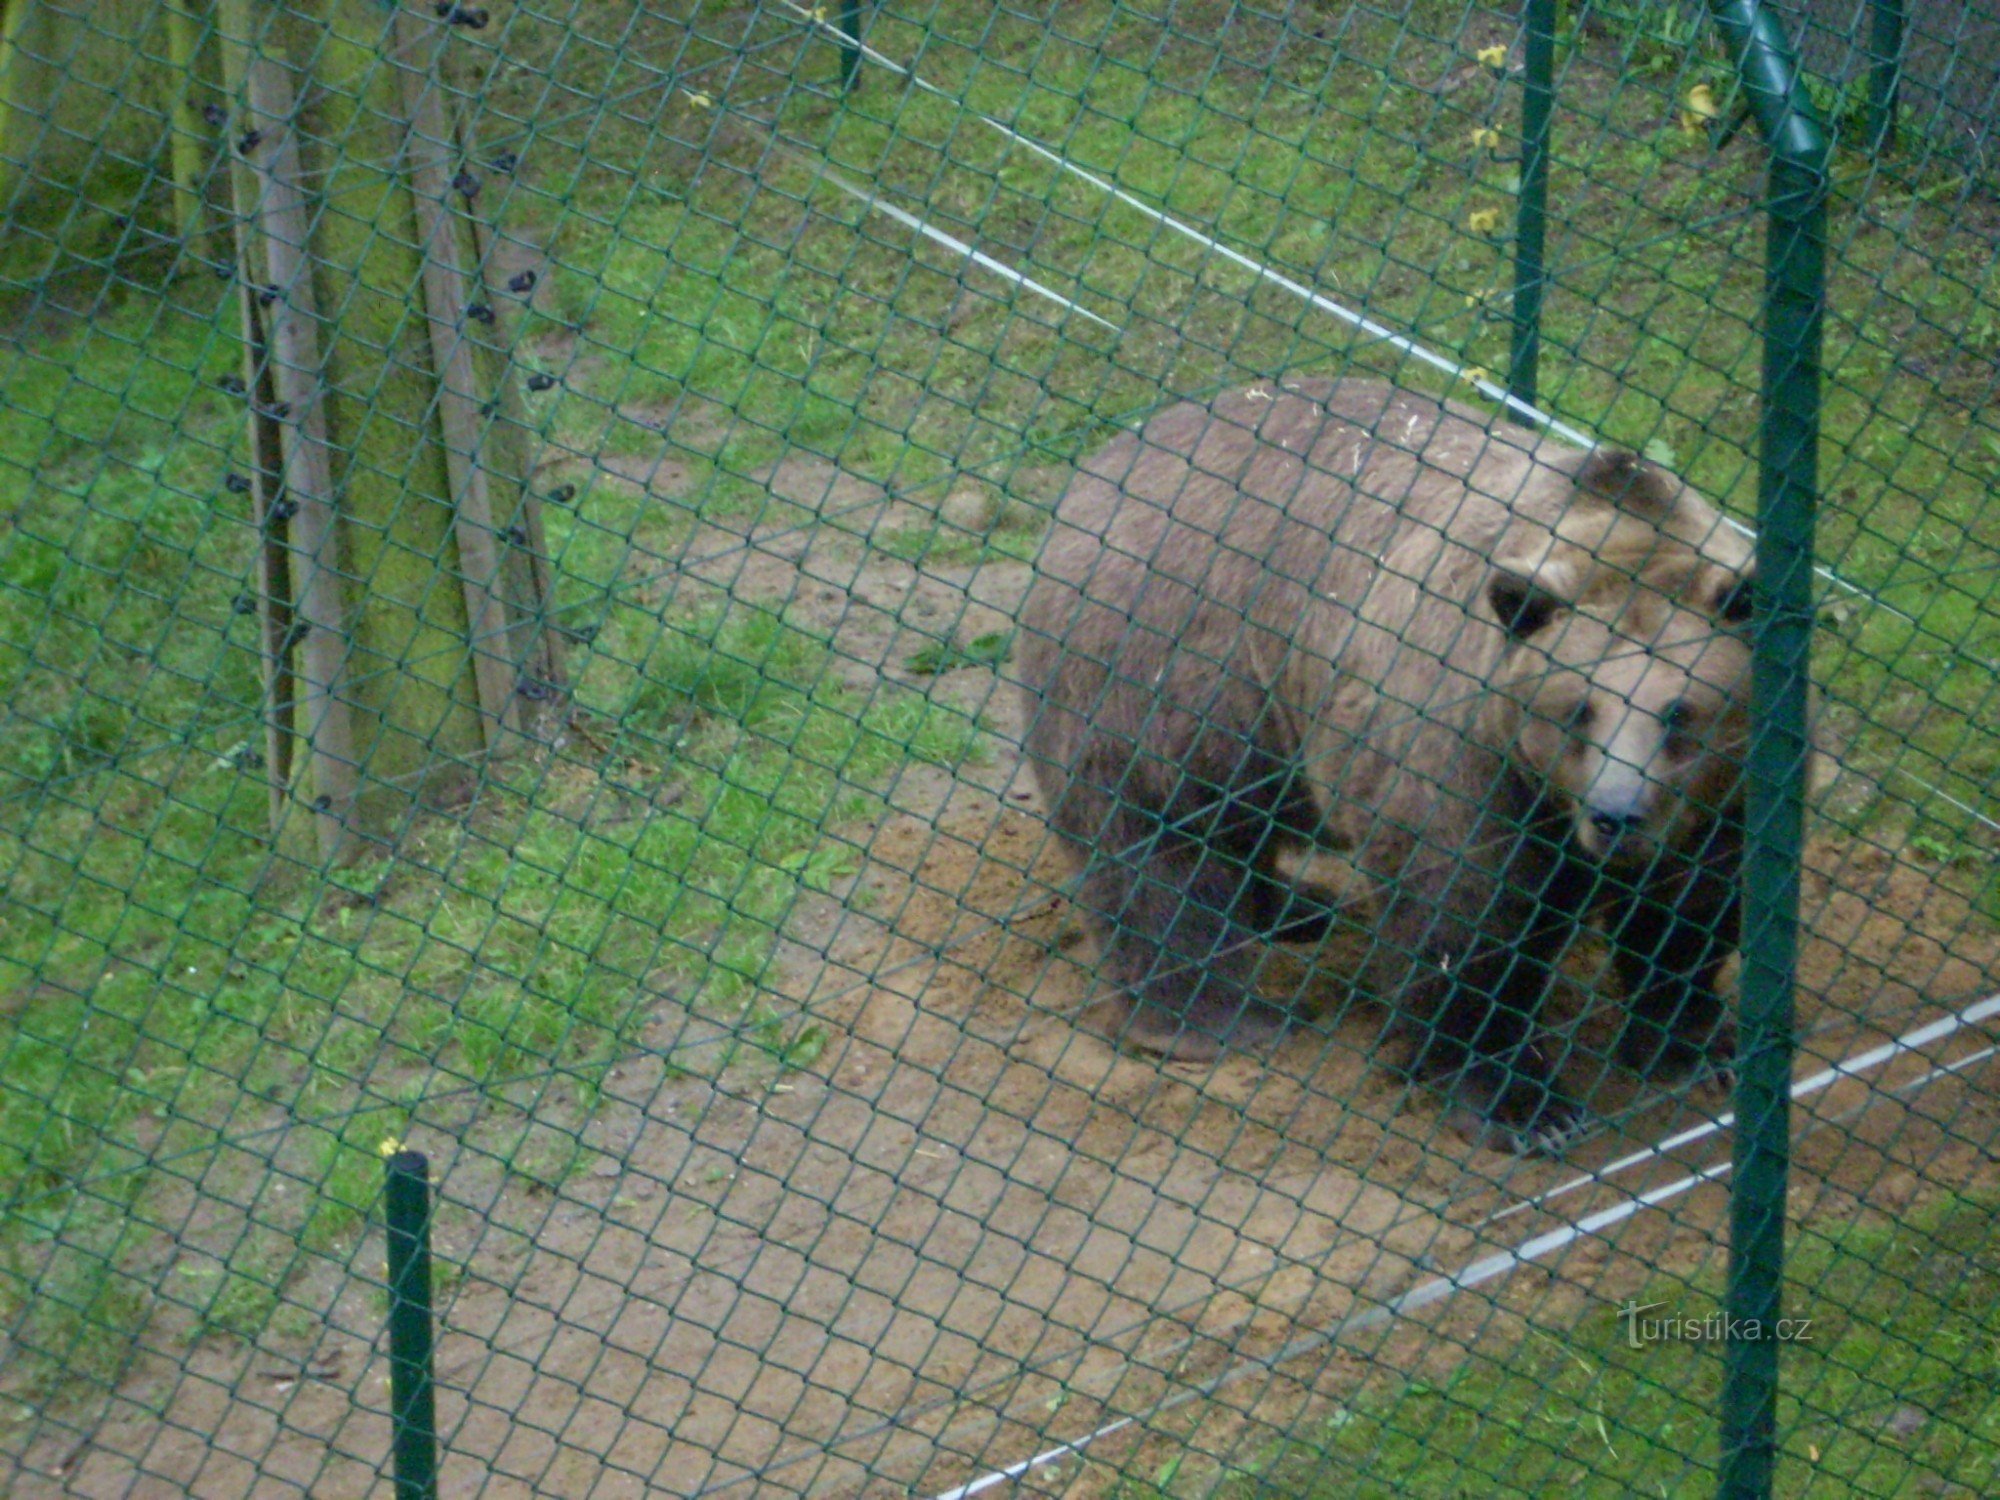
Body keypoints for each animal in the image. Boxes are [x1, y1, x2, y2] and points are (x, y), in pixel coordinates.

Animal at [1016, 376, 1752, 1152]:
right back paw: (1214, 1019)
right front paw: (1525, 1105)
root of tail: (1107, 459)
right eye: (1577, 707)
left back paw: (1301, 910)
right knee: (1165, 844)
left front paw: (1697, 1045)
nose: (1617, 816)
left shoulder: (1722, 794)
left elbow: (1692, 913)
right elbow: (1463, 923)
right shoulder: (1457, 750)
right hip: (1170, 662)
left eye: (1679, 711)